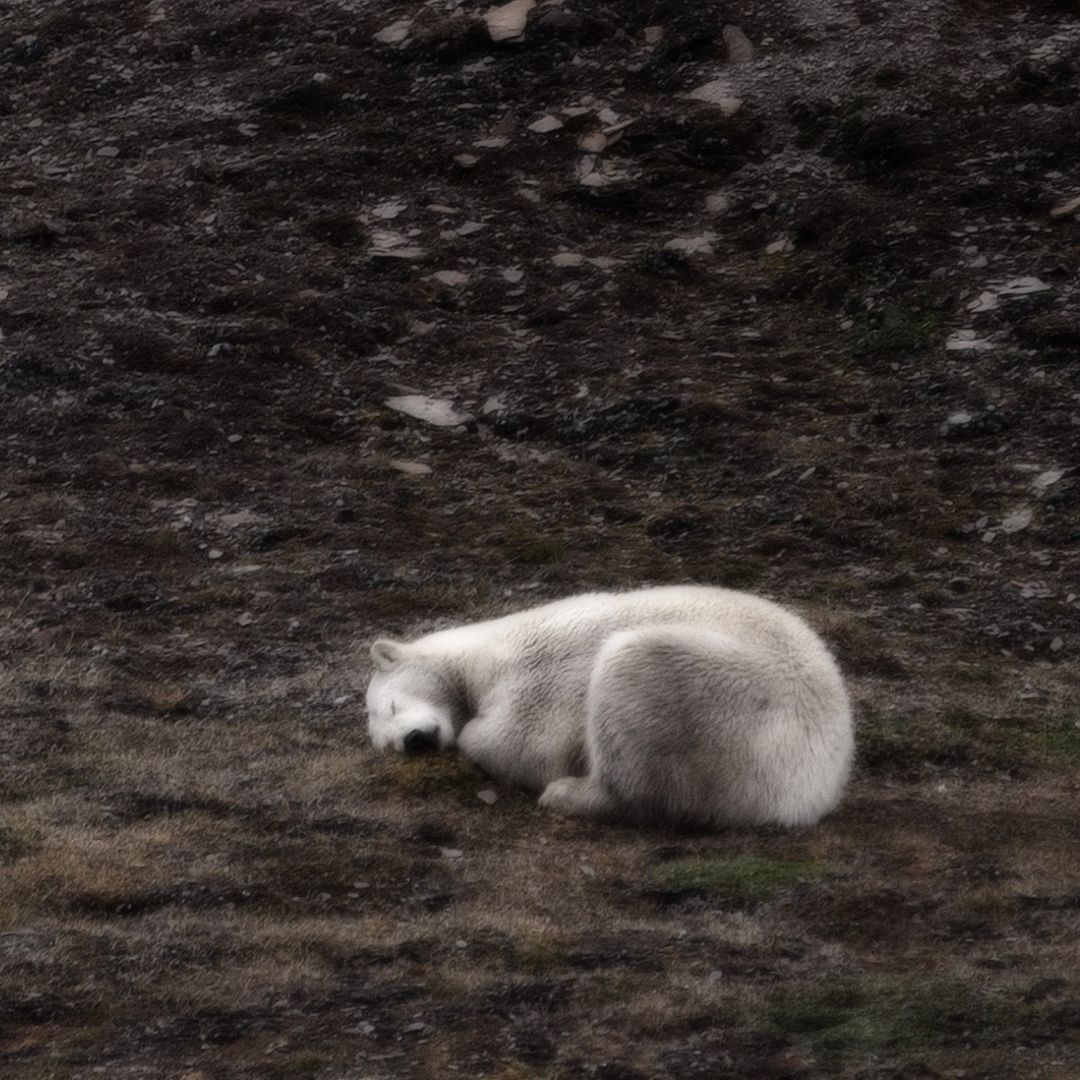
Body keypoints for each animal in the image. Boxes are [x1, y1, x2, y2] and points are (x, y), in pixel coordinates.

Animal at [365, 585, 853, 828]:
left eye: (390, 705)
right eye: (386, 743)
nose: (414, 740)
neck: (481, 656)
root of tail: (822, 786)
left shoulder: (538, 671)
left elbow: (520, 743)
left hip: (732, 700)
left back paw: (569, 794)